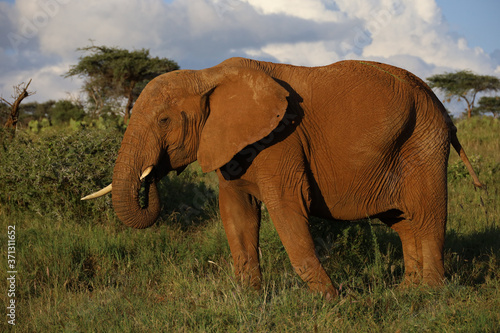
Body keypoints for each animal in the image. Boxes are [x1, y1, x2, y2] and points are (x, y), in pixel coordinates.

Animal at [81, 57, 480, 298]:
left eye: (164, 120)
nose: (151, 177)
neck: (207, 75)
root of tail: (440, 105)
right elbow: (237, 215)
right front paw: (248, 298)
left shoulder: (281, 140)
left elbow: (288, 211)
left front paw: (333, 301)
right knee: (403, 222)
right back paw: (406, 292)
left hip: (424, 142)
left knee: (427, 217)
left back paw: (430, 295)